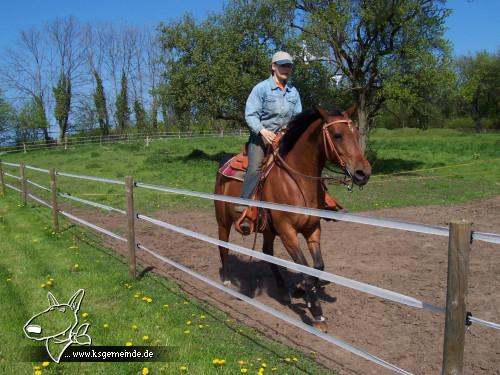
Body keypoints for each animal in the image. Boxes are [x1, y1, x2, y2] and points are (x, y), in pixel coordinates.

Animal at [213, 106, 370, 332]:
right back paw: (226, 279)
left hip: (268, 230)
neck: (298, 182)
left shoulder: (313, 229)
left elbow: (318, 267)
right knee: (223, 246)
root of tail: (224, 163)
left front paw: (300, 291)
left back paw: (283, 291)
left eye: (357, 134)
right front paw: (316, 312)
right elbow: (304, 268)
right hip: (223, 221)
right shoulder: (288, 232)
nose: (363, 173)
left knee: (268, 252)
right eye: (337, 135)